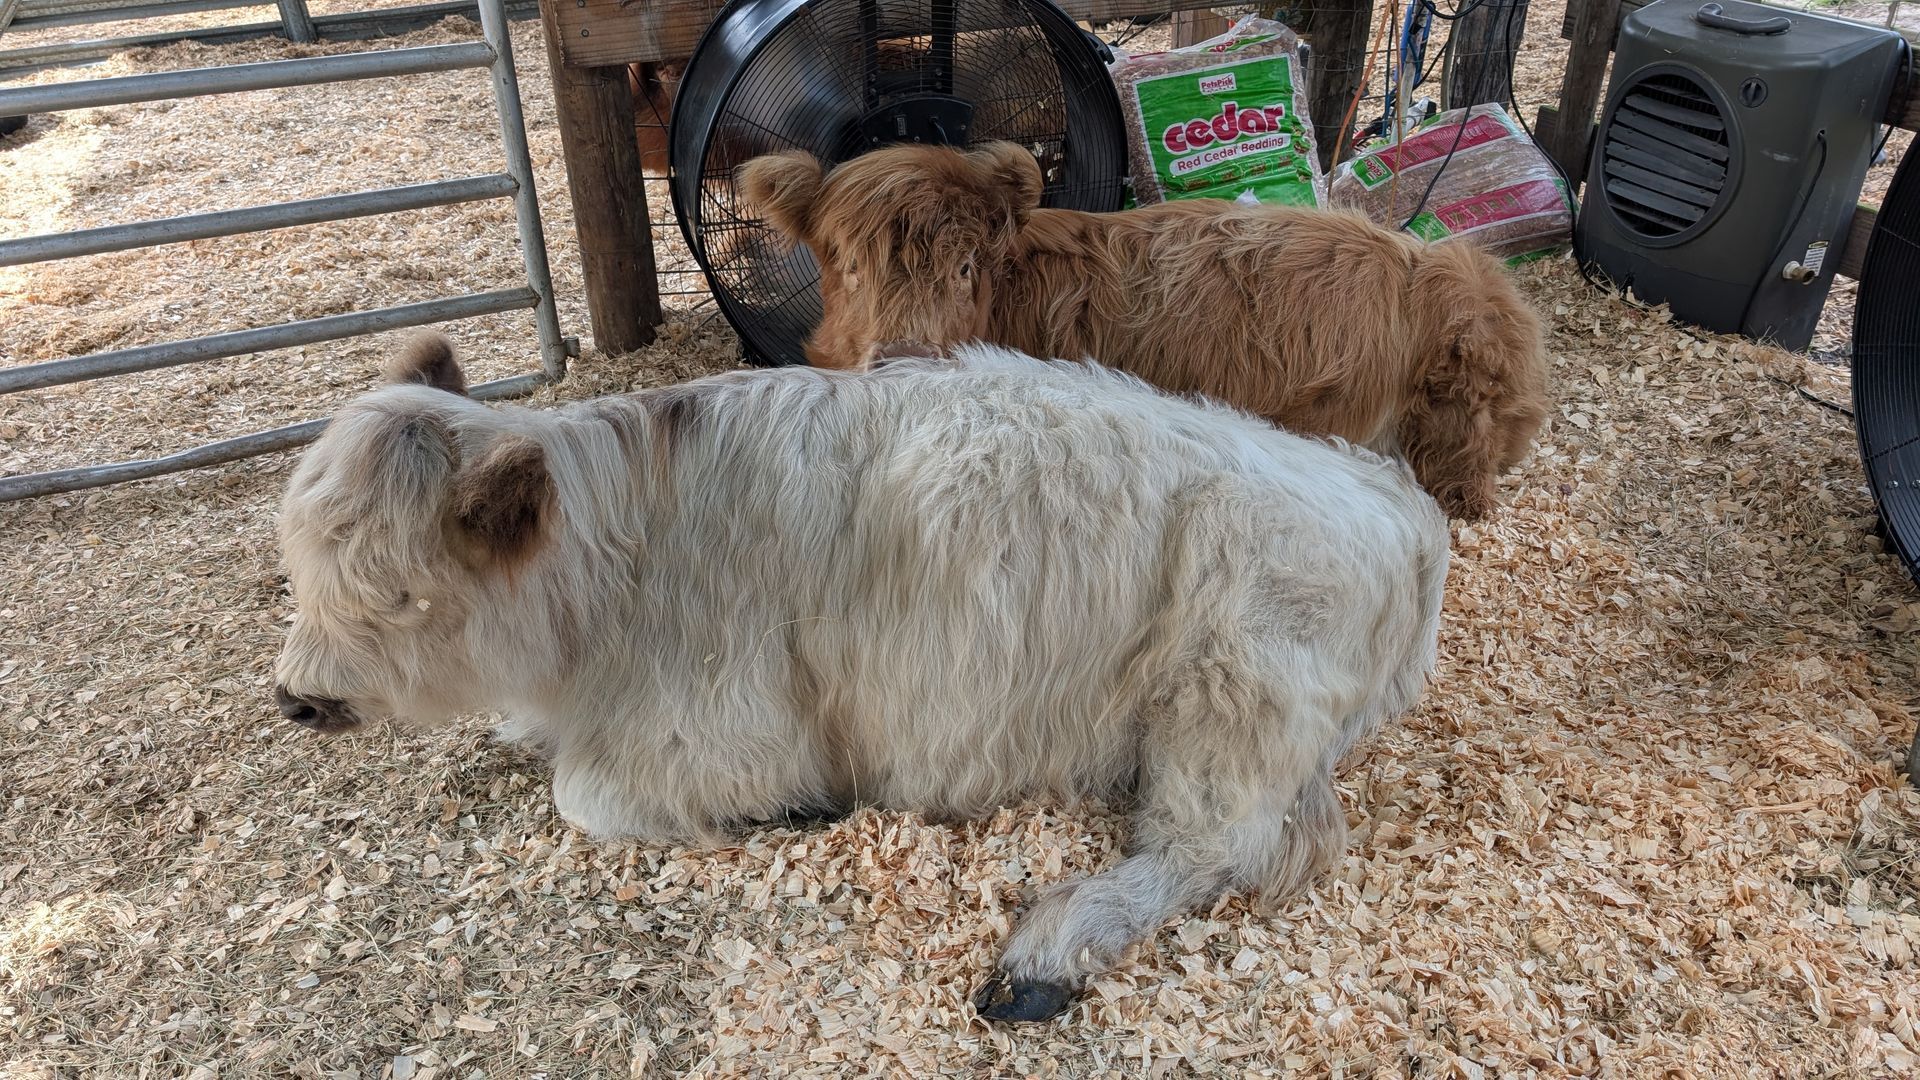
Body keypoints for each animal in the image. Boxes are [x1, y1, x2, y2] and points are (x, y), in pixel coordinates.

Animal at [272, 334, 1450, 1023]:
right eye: (300, 562)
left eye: (398, 593)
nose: (295, 698)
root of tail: (1390, 495)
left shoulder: (728, 728)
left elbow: (588, 798)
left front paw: (792, 813)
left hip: (1231, 692)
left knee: (1218, 846)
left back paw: (1048, 951)